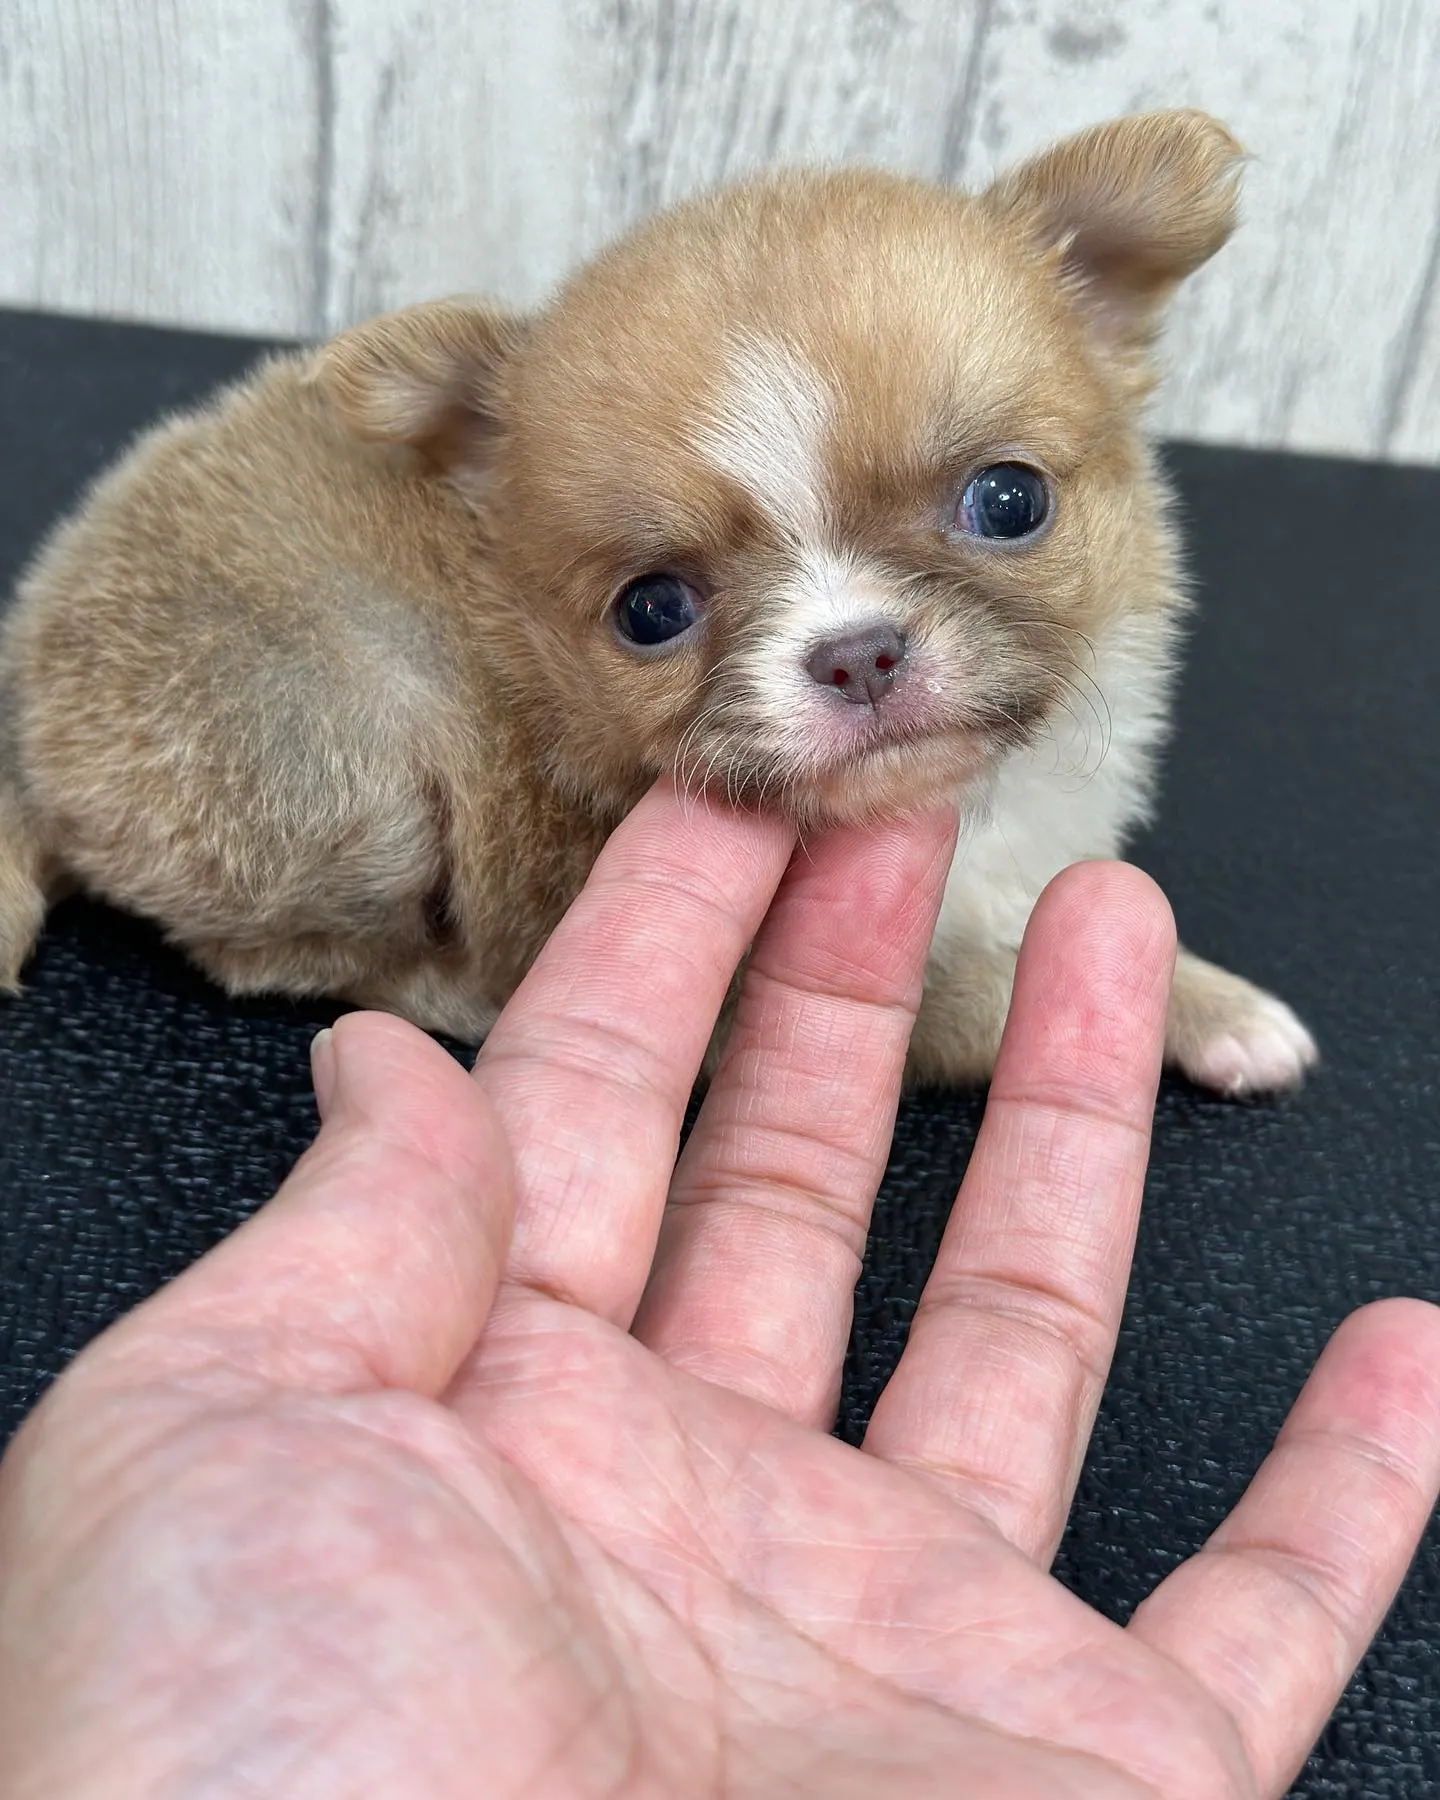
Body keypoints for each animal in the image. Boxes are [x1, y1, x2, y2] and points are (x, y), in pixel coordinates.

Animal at [0, 116, 1310, 1094]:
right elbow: (989, 994)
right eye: (652, 610)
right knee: (264, 953)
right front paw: (1210, 1010)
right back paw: (454, 994)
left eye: (1008, 500)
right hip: (351, 778)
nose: (859, 653)